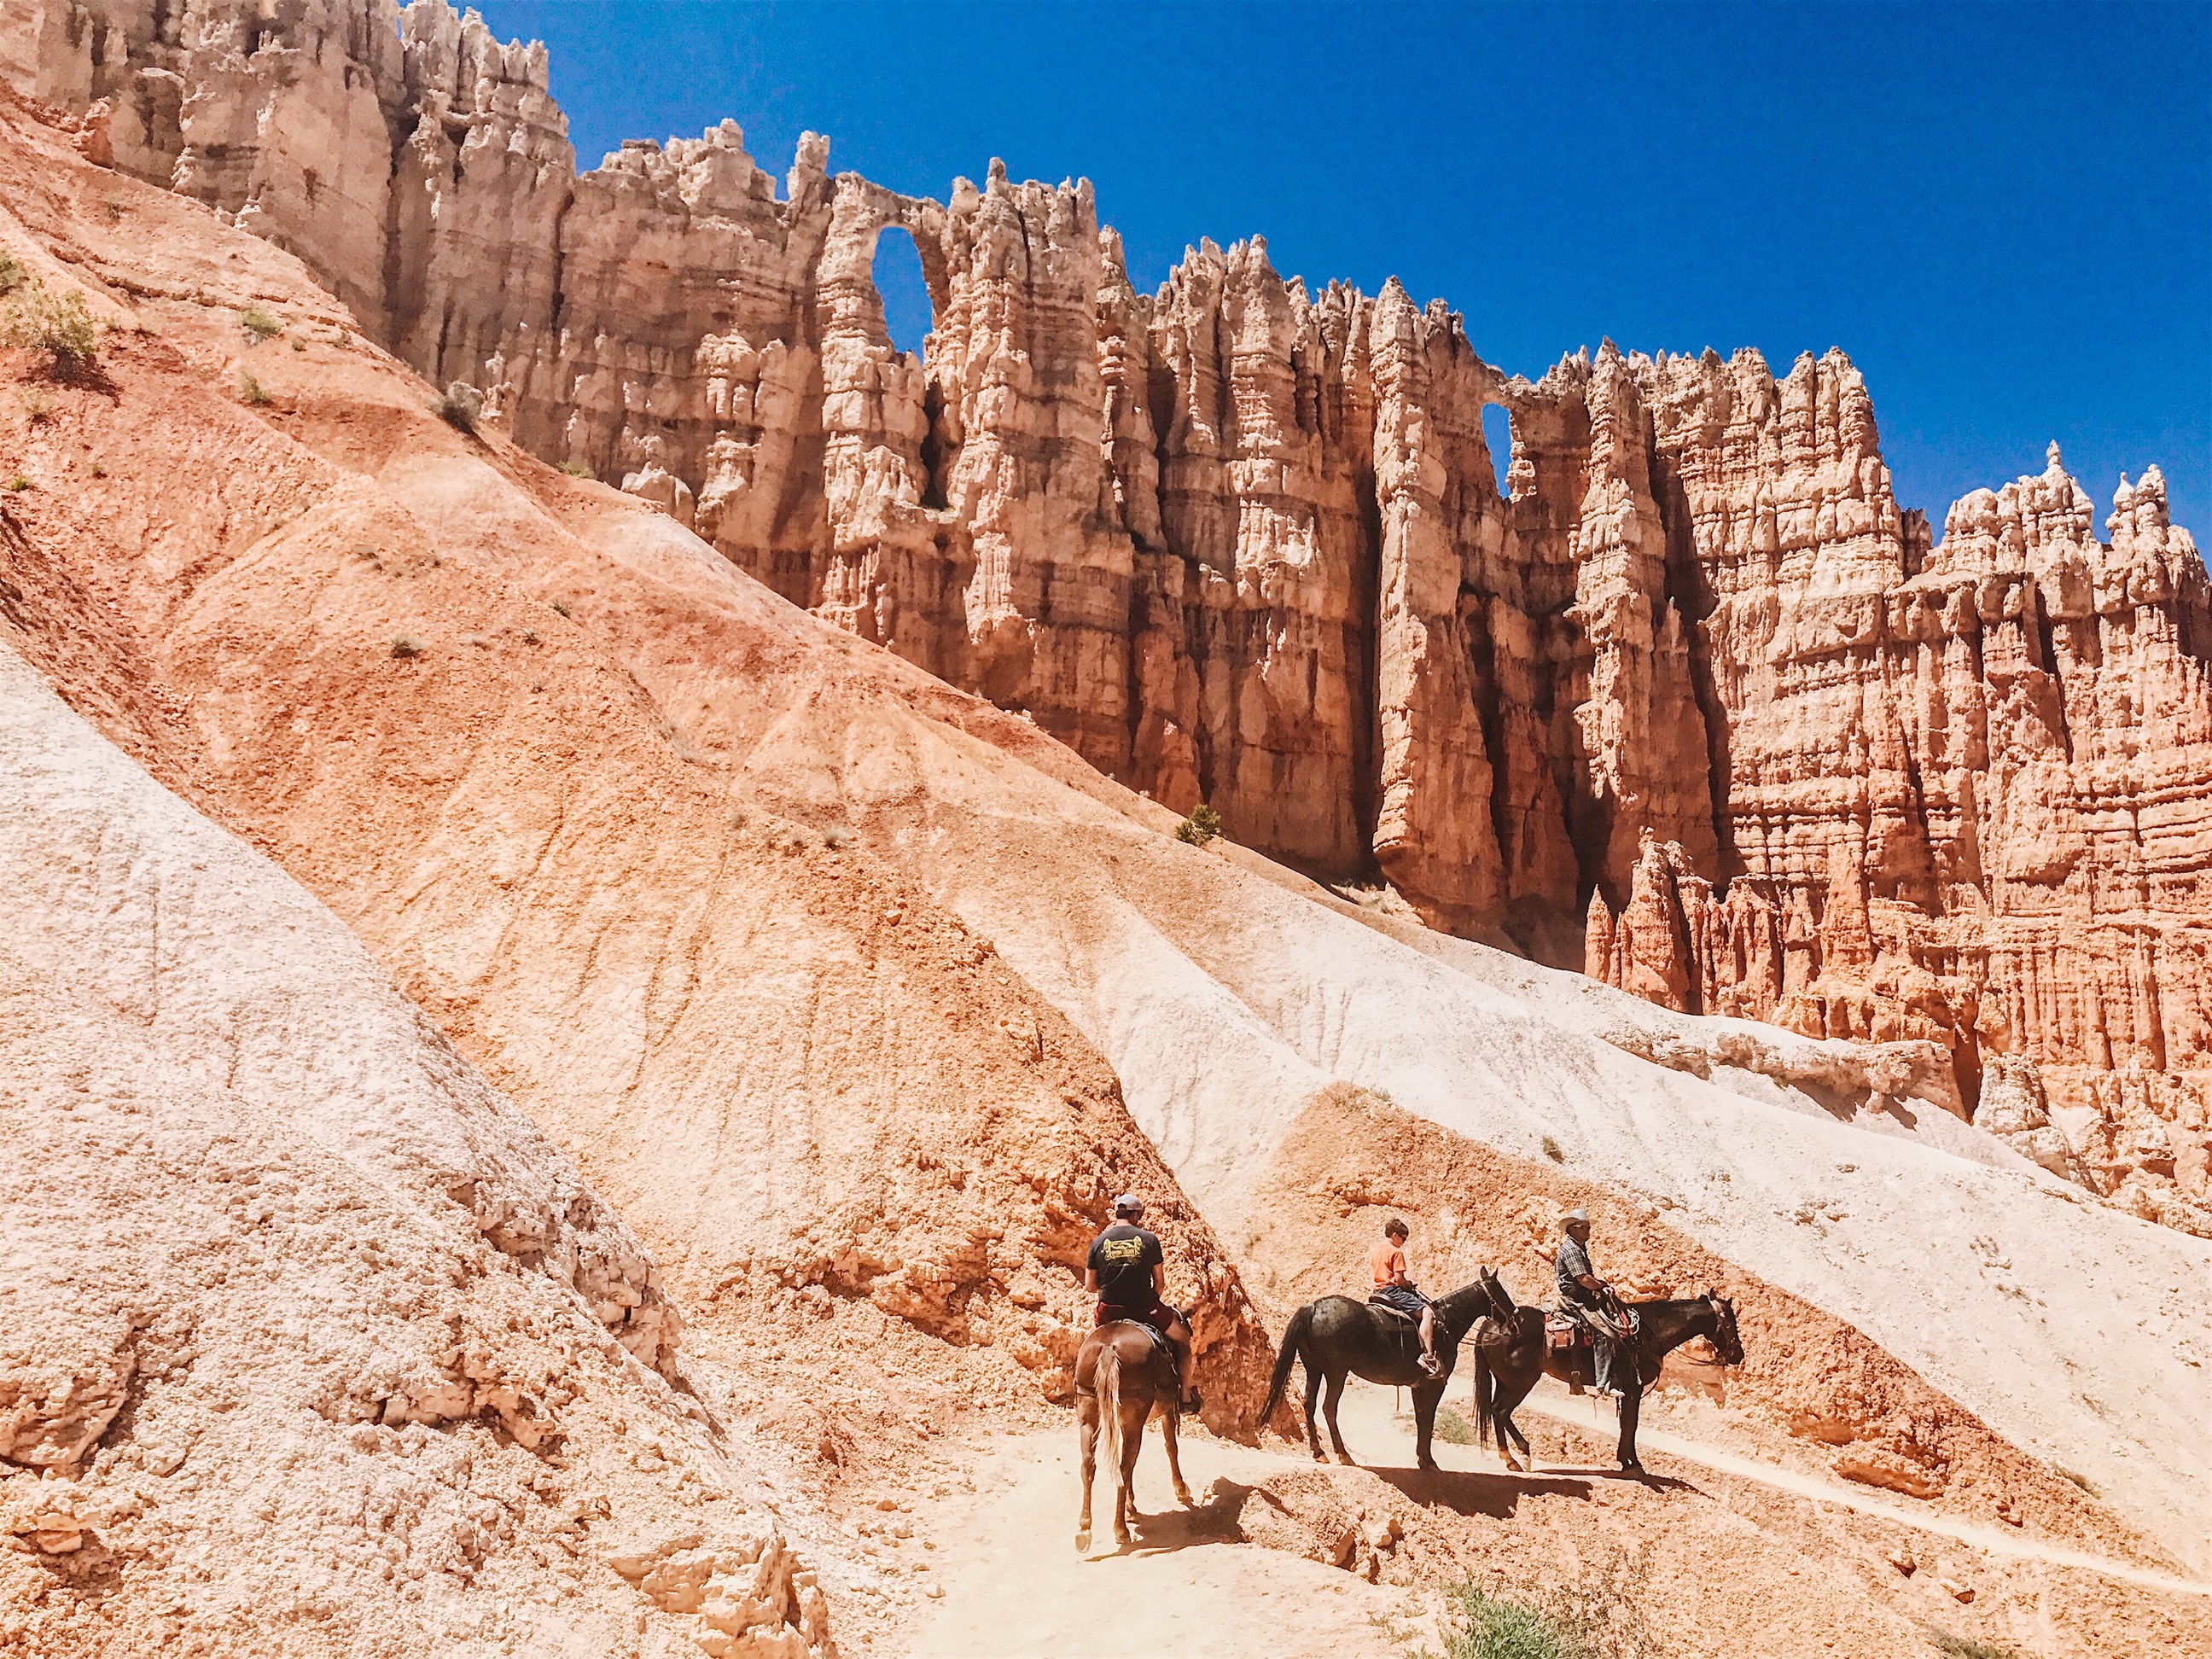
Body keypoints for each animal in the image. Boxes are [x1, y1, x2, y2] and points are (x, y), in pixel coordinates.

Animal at [1075, 1318, 1193, 1551]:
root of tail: (1109, 1347)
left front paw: (1131, 1509)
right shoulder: (1167, 1411)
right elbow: (1171, 1447)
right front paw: (1181, 1488)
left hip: (1089, 1413)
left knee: (1088, 1464)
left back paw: (1085, 1529)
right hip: (1133, 1419)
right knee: (1125, 1467)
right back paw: (1120, 1529)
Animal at [1259, 1278, 1507, 1471]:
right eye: (1501, 1292)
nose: (1513, 1317)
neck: (1445, 1323)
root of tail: (1313, 1307)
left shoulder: (1418, 1386)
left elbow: (1421, 1418)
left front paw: (1423, 1459)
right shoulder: (1435, 1385)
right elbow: (1428, 1418)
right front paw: (1429, 1461)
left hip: (1314, 1369)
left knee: (1309, 1404)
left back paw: (1319, 1453)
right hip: (1336, 1373)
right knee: (1329, 1408)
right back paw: (1343, 1455)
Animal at [1469, 1271, 1743, 1472]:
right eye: (1730, 1323)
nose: (1738, 1355)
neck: (1648, 1332)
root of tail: (1490, 1325)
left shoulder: (1628, 1389)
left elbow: (1626, 1423)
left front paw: (1625, 1459)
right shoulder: (1633, 1388)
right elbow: (1631, 1424)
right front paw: (1633, 1462)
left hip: (1505, 1381)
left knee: (1496, 1410)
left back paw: (1512, 1458)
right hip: (1521, 1382)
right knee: (1501, 1411)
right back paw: (1519, 1456)